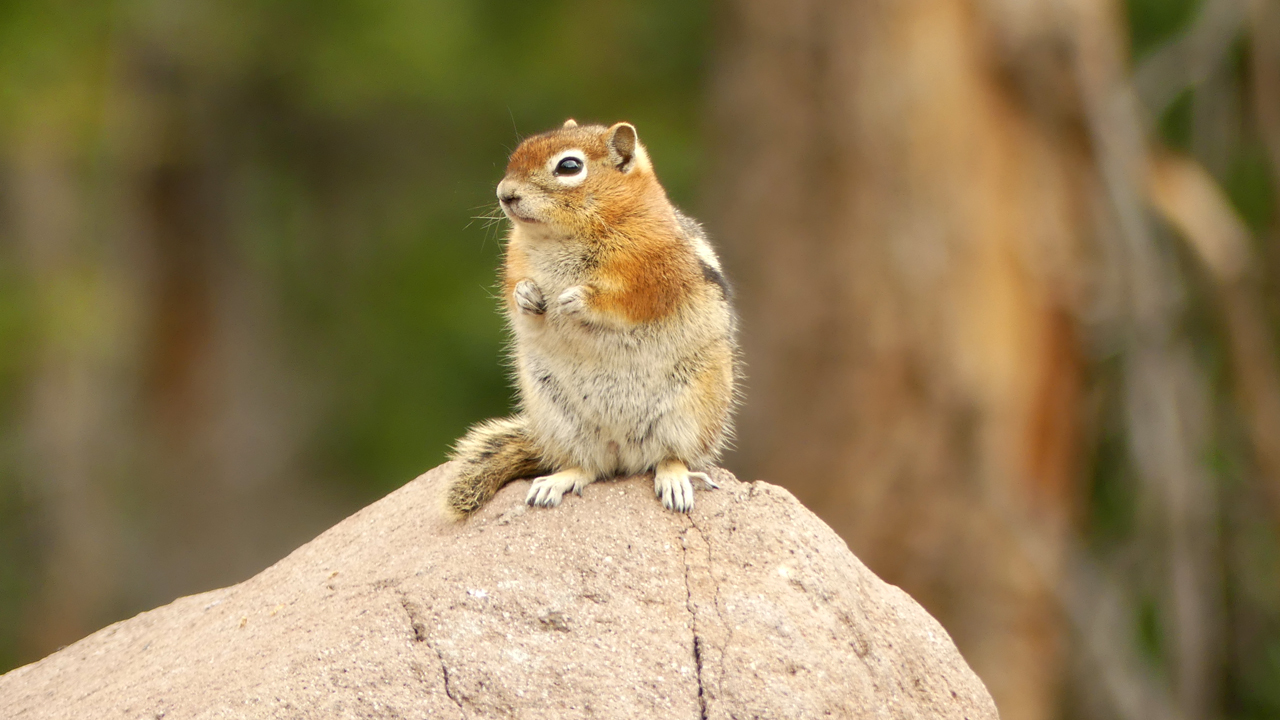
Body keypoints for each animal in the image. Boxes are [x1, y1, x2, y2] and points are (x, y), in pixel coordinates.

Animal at [445, 121, 737, 515]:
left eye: (569, 167)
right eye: (519, 152)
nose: (505, 195)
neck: (561, 238)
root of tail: (624, 451)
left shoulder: (656, 276)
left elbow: (625, 301)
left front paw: (577, 299)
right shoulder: (514, 260)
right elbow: (513, 291)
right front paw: (527, 295)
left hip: (691, 412)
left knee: (671, 457)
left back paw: (674, 480)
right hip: (560, 420)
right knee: (591, 468)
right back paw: (556, 481)